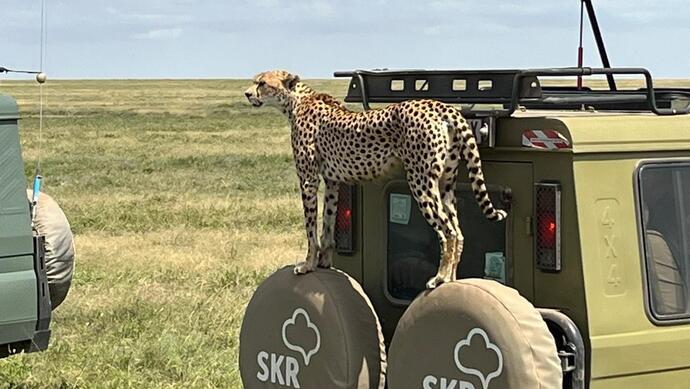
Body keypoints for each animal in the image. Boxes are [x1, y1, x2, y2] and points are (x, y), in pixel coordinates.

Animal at [245, 70, 502, 288]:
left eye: (262, 83)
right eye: (255, 81)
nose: (247, 94)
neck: (296, 101)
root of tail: (440, 106)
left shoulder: (308, 180)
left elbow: (310, 228)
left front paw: (308, 265)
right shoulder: (332, 181)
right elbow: (327, 222)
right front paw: (324, 262)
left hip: (421, 181)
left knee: (448, 231)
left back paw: (440, 278)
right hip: (445, 183)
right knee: (459, 231)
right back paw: (453, 278)